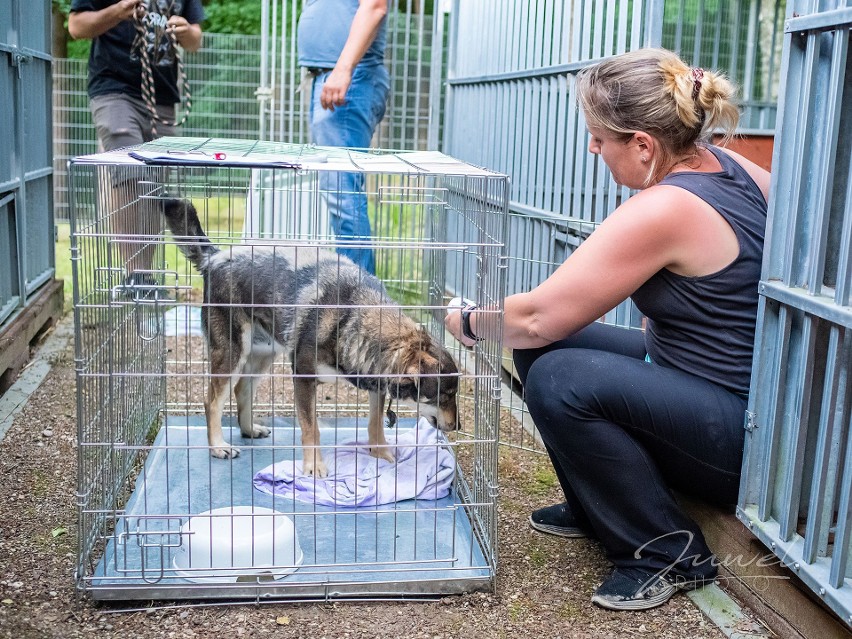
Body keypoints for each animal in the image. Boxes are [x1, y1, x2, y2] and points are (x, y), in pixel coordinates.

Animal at [161, 199, 460, 476]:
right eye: (444, 395)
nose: (457, 426)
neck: (351, 318)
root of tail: (216, 257)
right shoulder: (304, 380)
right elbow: (311, 428)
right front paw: (314, 467)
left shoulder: (376, 384)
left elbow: (375, 424)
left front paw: (382, 455)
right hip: (231, 353)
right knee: (212, 401)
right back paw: (218, 446)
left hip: (262, 355)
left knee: (241, 389)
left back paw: (249, 430)